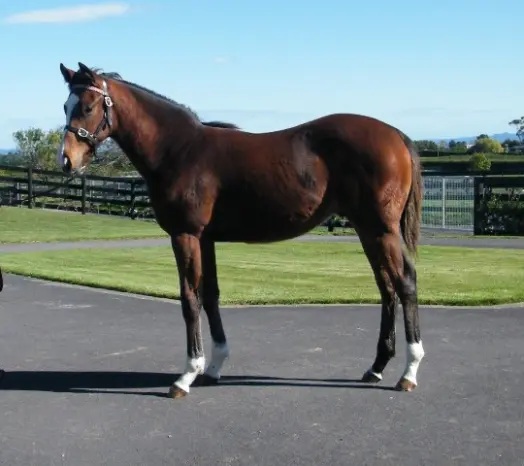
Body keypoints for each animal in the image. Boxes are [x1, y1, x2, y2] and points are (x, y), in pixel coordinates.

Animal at [57, 62, 425, 398]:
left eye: (88, 107)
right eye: (65, 106)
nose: (67, 161)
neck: (178, 150)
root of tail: (396, 136)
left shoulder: (186, 235)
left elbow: (189, 298)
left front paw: (186, 375)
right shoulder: (205, 238)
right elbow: (210, 295)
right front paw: (213, 366)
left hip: (381, 230)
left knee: (405, 283)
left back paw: (409, 371)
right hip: (367, 230)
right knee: (386, 287)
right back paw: (376, 367)